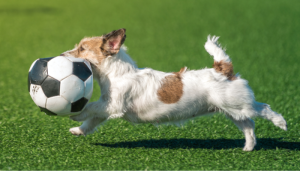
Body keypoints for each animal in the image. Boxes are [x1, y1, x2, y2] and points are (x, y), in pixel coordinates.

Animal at [60, 28, 286, 151]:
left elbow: (91, 108)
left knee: (263, 108)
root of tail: (223, 69)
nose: (62, 54)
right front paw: (78, 130)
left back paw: (280, 122)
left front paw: (76, 114)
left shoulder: (111, 105)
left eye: (82, 48)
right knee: (248, 125)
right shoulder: (107, 107)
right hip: (232, 111)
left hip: (237, 104)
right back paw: (248, 146)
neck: (119, 73)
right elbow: (92, 121)